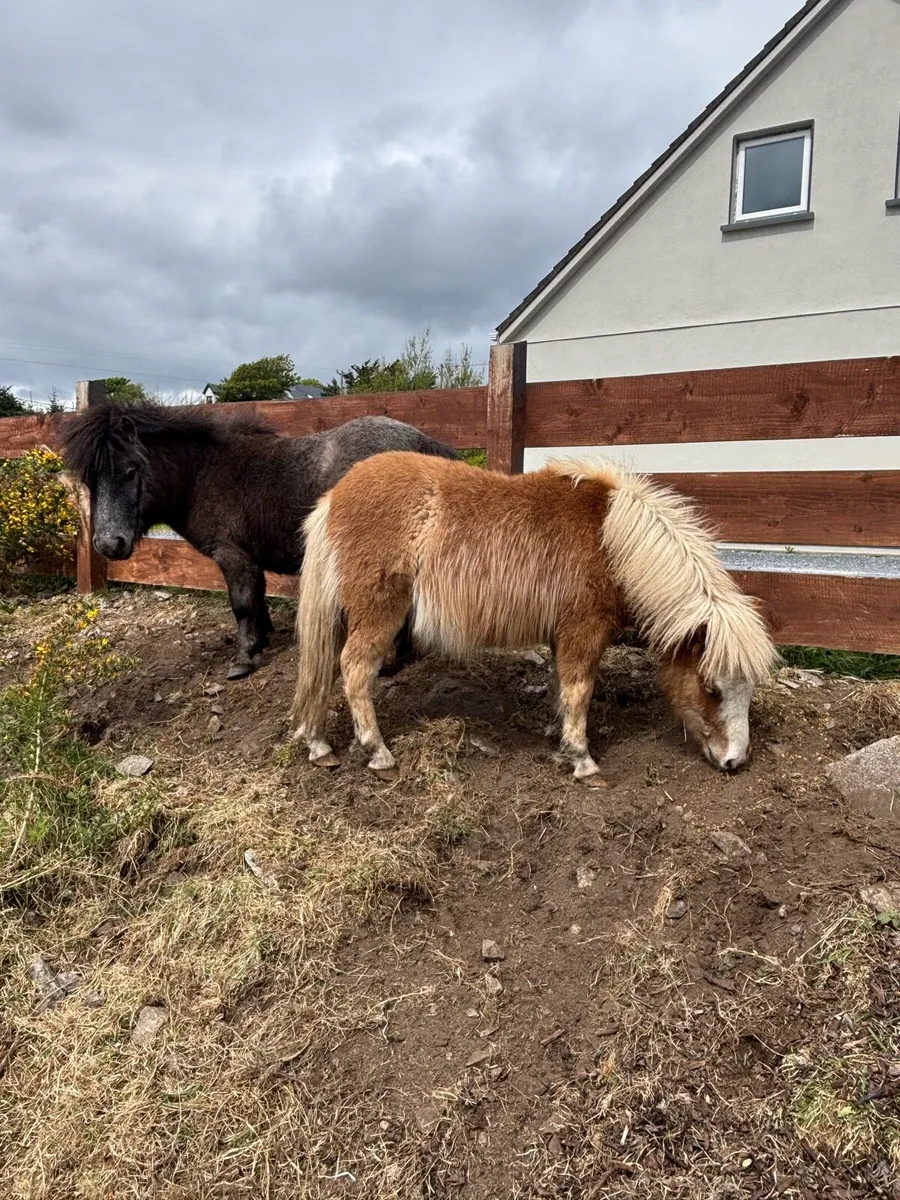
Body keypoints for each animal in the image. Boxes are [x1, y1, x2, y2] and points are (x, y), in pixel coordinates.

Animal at [61, 404, 460, 679]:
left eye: (130, 472)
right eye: (90, 480)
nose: (108, 544)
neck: (202, 474)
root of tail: (422, 442)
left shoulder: (232, 555)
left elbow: (241, 605)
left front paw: (245, 656)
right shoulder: (249, 558)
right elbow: (257, 600)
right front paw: (262, 638)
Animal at [290, 452, 776, 785]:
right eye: (711, 688)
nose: (735, 760)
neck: (610, 542)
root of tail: (334, 497)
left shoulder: (563, 634)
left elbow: (561, 686)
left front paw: (557, 735)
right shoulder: (584, 632)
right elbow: (580, 690)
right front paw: (582, 759)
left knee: (325, 671)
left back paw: (318, 744)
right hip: (377, 614)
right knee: (354, 671)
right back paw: (378, 752)